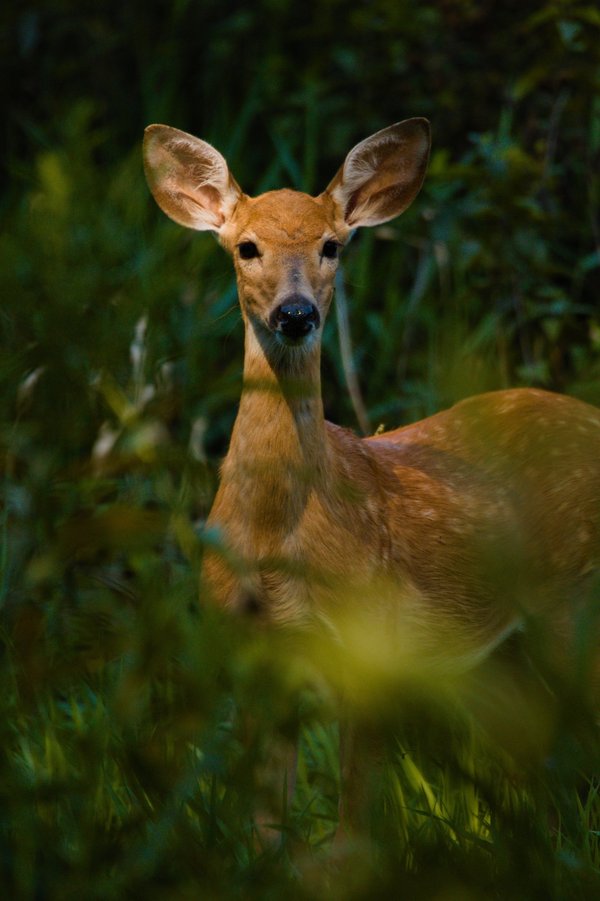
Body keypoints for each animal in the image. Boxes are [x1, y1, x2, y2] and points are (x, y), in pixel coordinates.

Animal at [143, 118, 600, 835]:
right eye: (246, 247)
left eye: (332, 245)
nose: (295, 314)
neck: (274, 538)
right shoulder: (249, 662)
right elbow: (265, 831)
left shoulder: (374, 642)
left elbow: (354, 829)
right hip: (506, 647)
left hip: (572, 597)